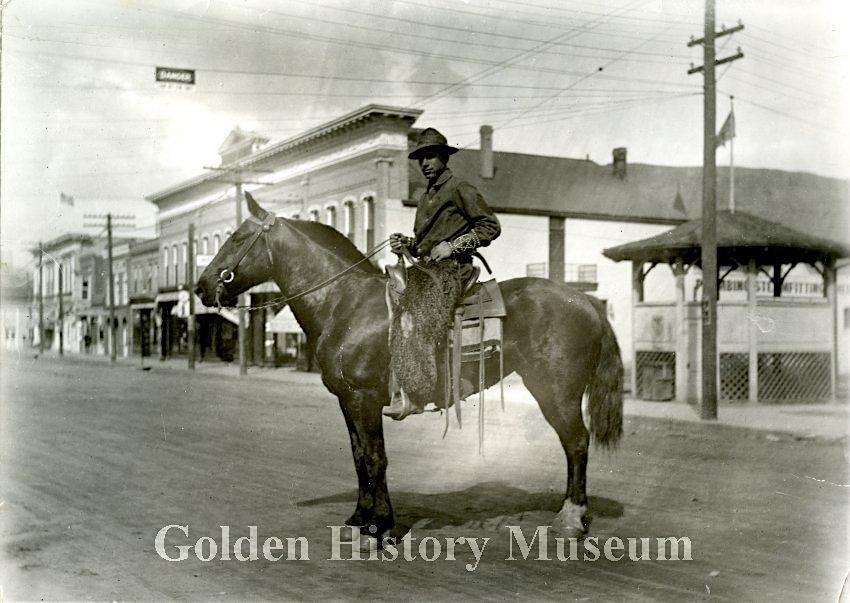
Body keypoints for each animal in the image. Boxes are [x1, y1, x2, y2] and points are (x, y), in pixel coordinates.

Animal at [197, 193, 624, 544]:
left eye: (237, 238)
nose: (201, 286)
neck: (345, 303)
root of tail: (585, 301)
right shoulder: (347, 401)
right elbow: (358, 457)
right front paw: (358, 519)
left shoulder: (366, 399)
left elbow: (376, 458)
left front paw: (379, 528)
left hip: (556, 391)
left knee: (576, 442)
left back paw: (571, 519)